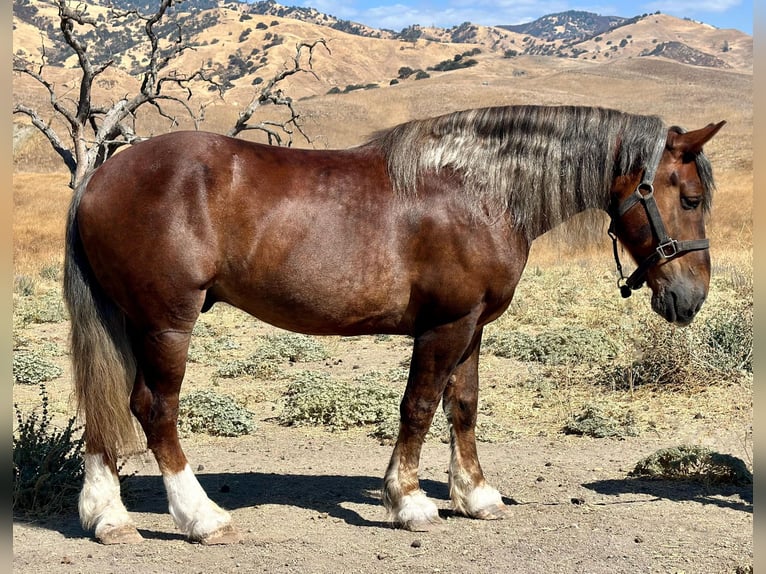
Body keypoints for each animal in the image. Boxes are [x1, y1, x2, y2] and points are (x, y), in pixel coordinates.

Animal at [64, 106, 728, 548]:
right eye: (690, 197)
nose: (691, 298)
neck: (477, 189)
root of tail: (101, 176)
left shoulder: (472, 326)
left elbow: (463, 407)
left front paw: (474, 496)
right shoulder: (444, 326)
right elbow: (420, 407)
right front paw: (409, 502)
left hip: (125, 320)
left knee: (104, 405)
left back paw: (108, 518)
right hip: (166, 324)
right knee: (154, 410)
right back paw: (200, 518)